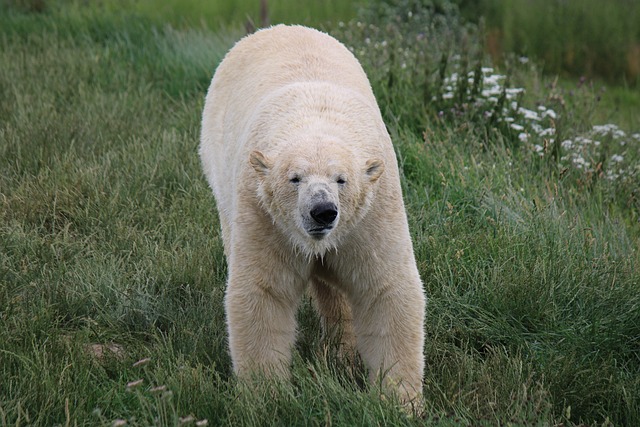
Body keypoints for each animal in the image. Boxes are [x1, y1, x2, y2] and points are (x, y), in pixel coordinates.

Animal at [200, 24, 424, 404]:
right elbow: (264, 290)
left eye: (341, 179)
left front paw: (399, 400)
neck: (314, 118)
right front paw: (266, 395)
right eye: (295, 178)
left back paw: (341, 352)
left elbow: (385, 289)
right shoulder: (265, 216)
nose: (323, 211)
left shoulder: (371, 214)